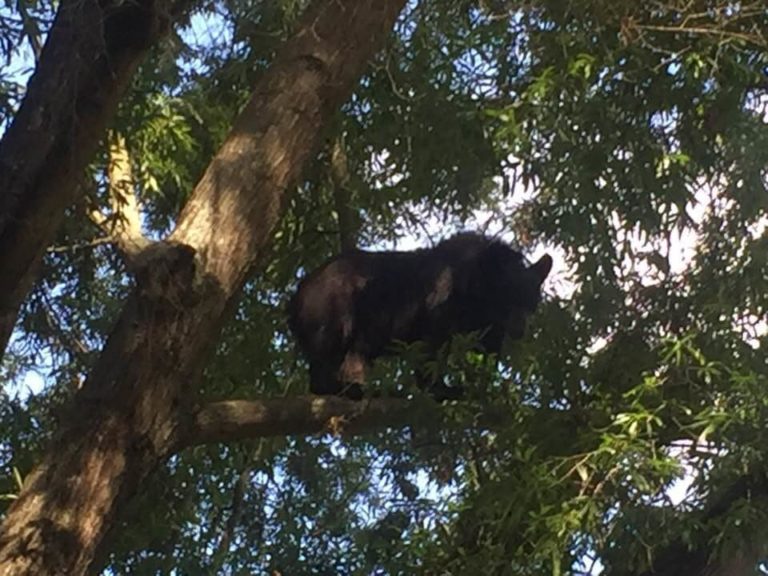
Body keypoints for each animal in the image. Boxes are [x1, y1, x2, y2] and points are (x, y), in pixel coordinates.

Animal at [288, 234, 552, 400]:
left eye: (531, 303)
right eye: (508, 298)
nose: (520, 327)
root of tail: (298, 293)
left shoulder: (487, 327)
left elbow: (487, 353)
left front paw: (483, 389)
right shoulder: (441, 305)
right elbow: (431, 348)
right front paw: (441, 389)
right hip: (332, 305)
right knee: (329, 346)